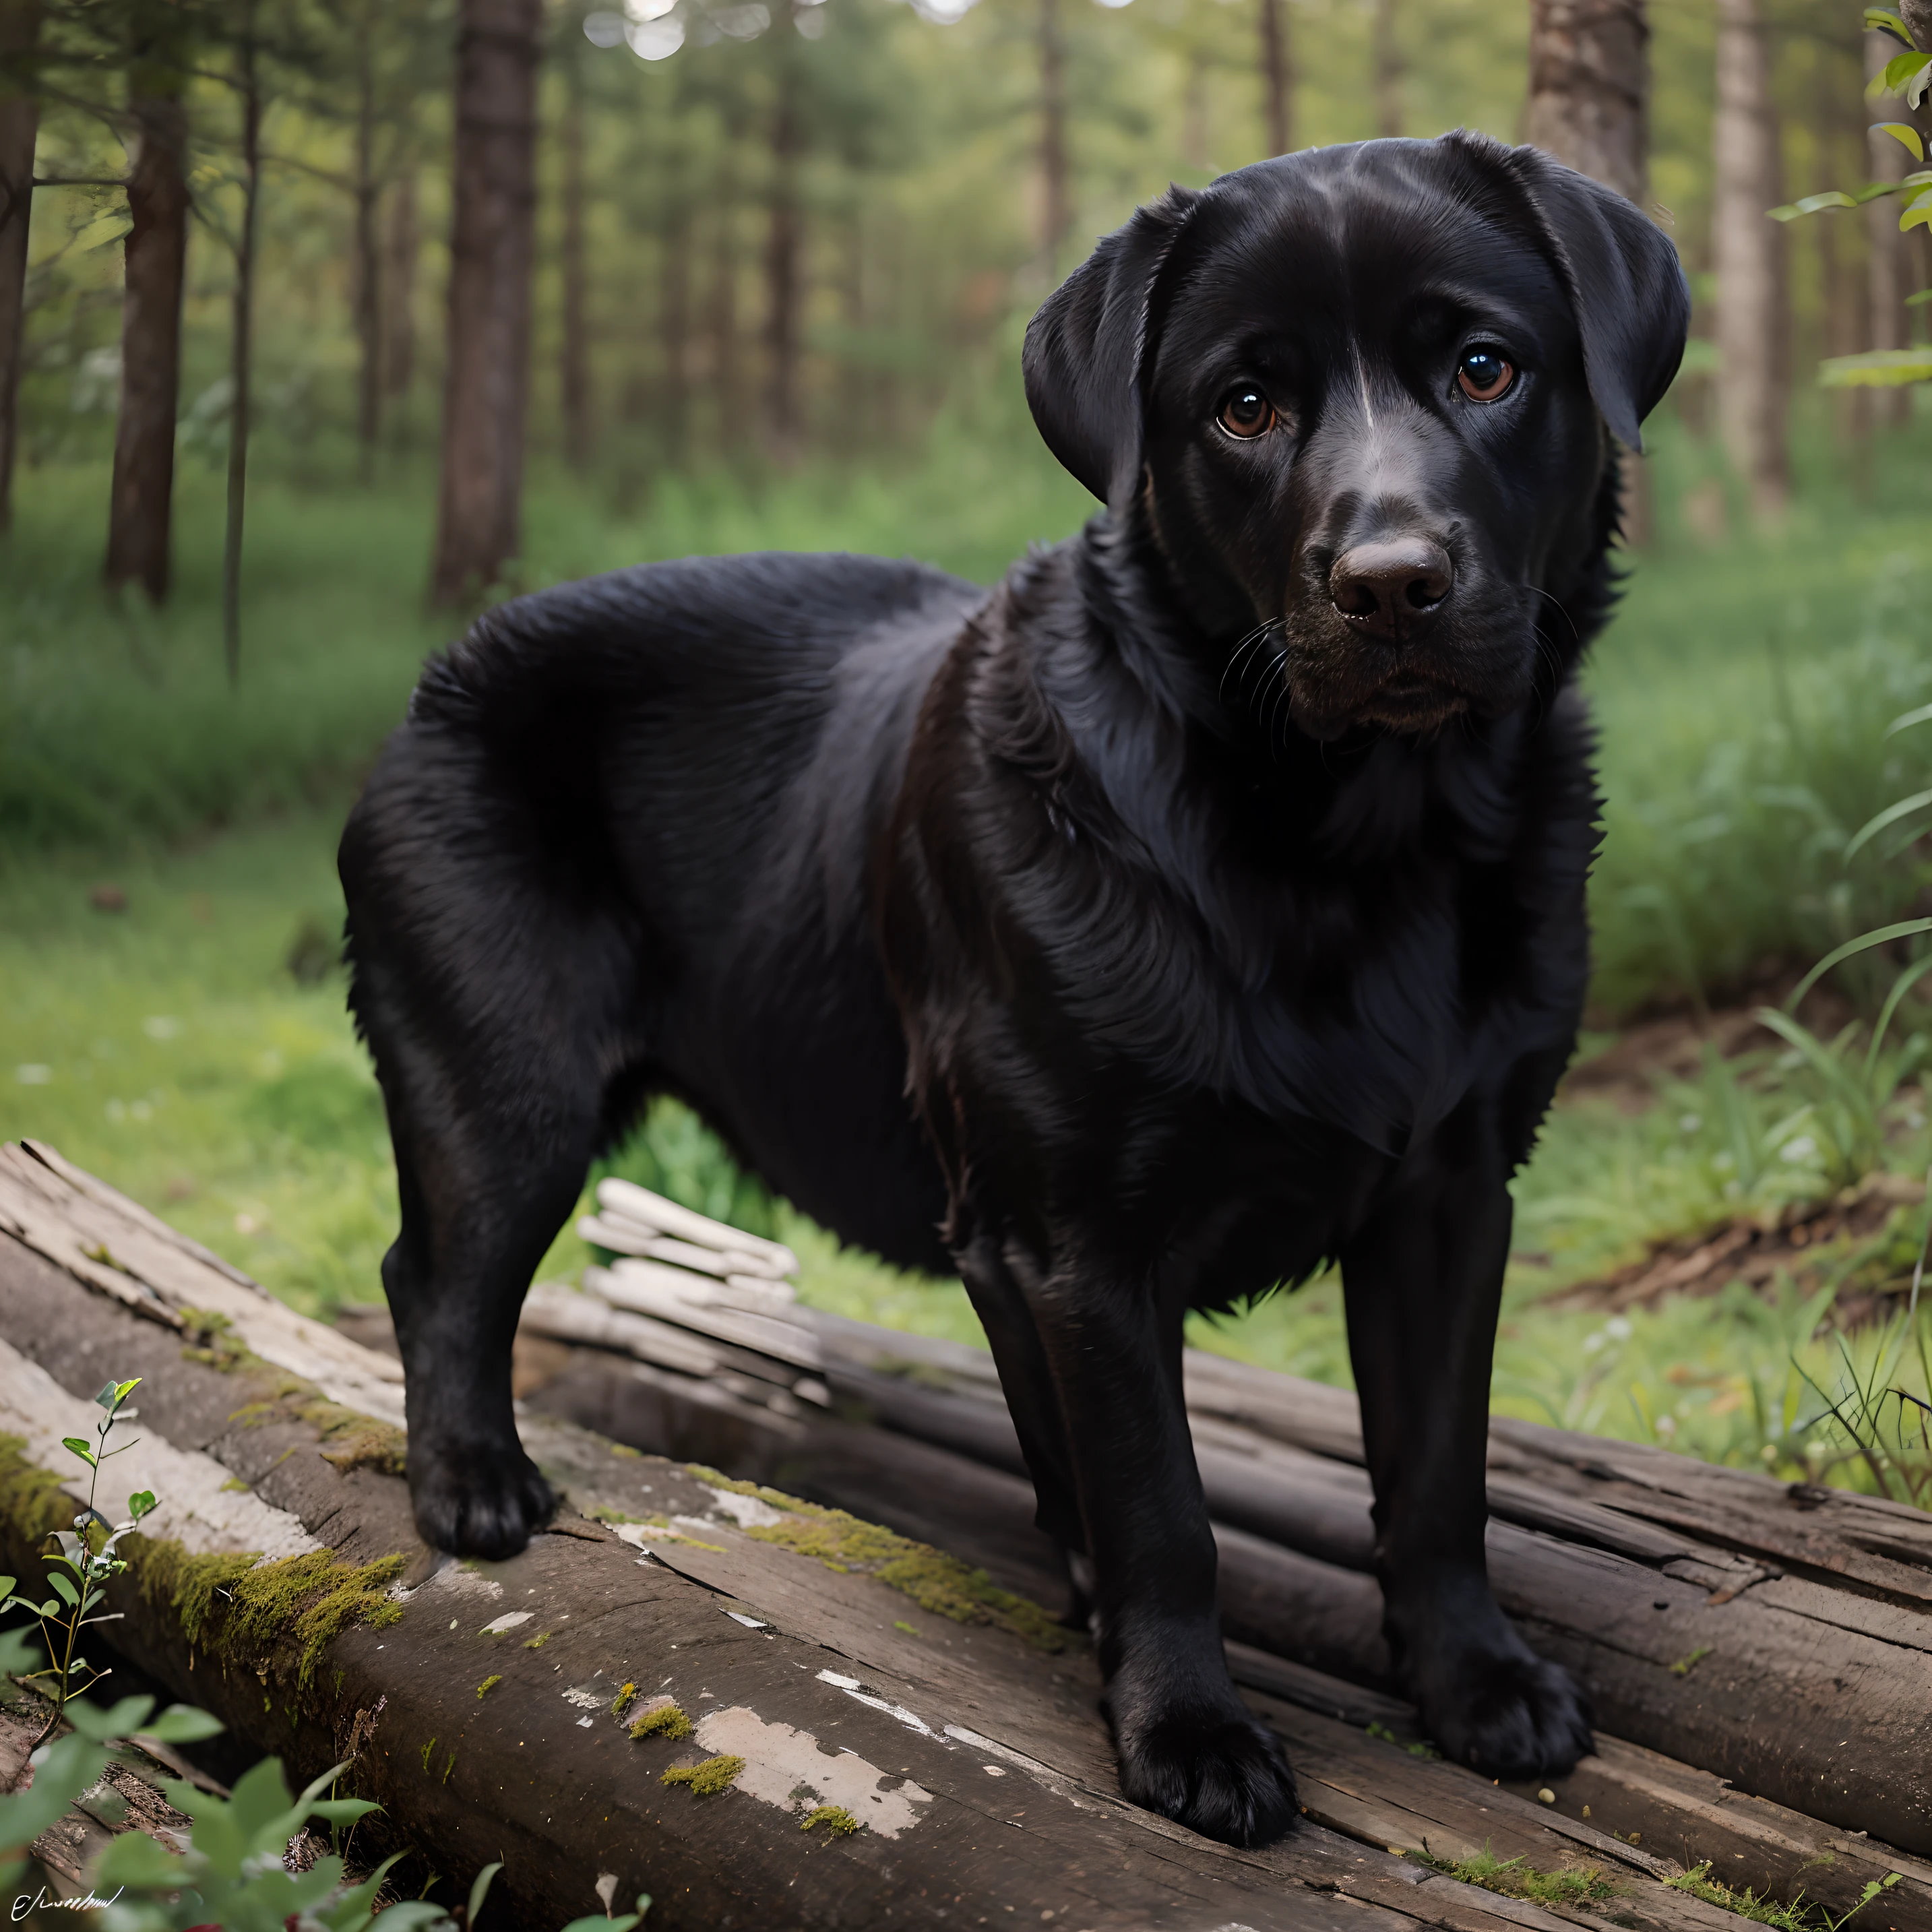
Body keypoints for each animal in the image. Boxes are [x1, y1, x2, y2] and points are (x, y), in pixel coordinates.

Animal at [344, 128, 1692, 1846]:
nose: (1387, 581)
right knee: (438, 1275)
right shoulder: (1076, 1246)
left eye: (1481, 367)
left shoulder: (1449, 1195)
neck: (1341, 845)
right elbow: (1159, 1508)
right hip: (504, 1088)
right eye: (1240, 406)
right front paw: (1187, 1732)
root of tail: (439, 672)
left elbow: (1434, 1472)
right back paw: (471, 1485)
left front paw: (1473, 1685)